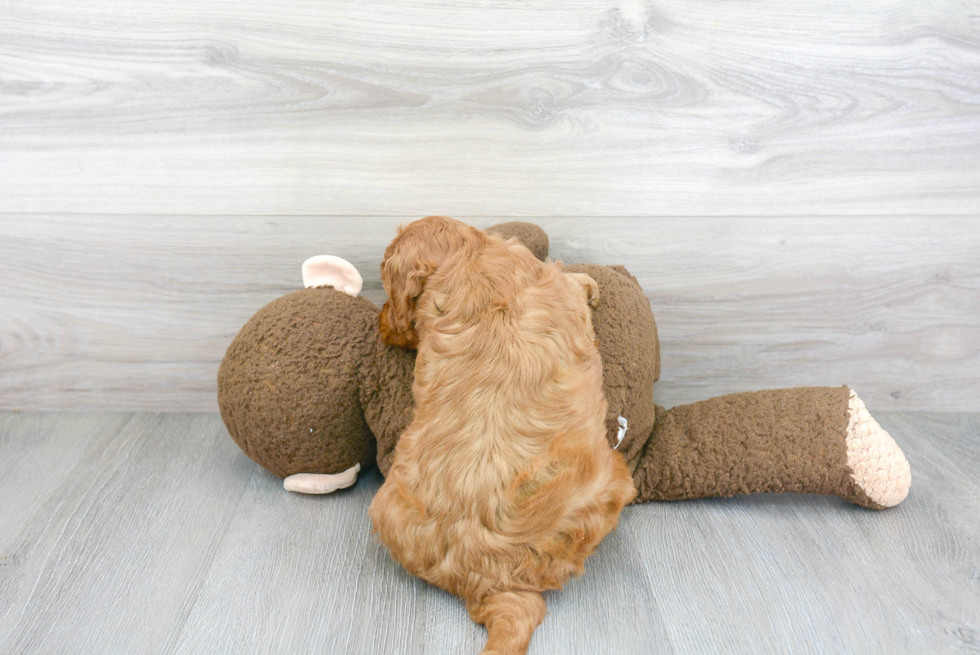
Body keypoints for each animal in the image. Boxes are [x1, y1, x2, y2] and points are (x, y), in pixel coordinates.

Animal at [368, 217, 636, 655]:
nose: (381, 325)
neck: (467, 256)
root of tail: (491, 583)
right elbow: (574, 285)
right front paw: (590, 285)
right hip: (609, 480)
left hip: (387, 508)